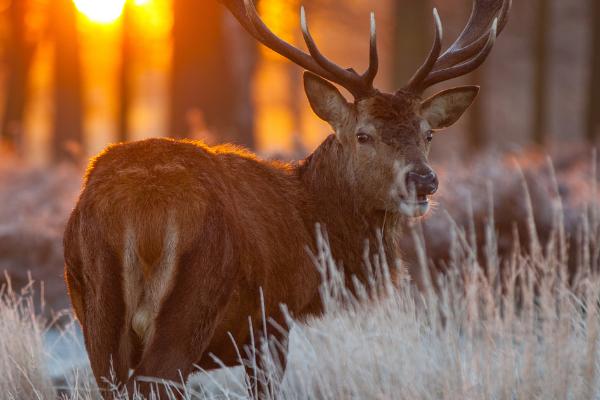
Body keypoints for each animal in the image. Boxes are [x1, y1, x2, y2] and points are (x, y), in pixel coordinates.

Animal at [62, 0, 510, 396]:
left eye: (427, 133)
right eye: (363, 135)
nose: (423, 180)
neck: (311, 227)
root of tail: (141, 205)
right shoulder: (271, 319)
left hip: (96, 308)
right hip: (195, 295)